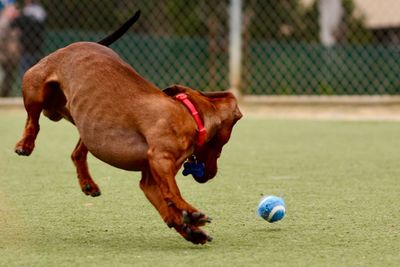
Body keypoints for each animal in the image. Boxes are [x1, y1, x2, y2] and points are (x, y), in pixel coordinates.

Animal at [14, 11, 242, 246]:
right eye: (223, 143)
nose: (212, 174)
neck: (189, 112)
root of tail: (74, 45)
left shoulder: (150, 180)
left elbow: (168, 208)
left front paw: (190, 229)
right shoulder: (160, 160)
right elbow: (173, 193)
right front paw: (191, 214)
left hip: (81, 119)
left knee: (77, 152)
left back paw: (88, 183)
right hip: (35, 89)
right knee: (33, 121)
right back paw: (25, 144)